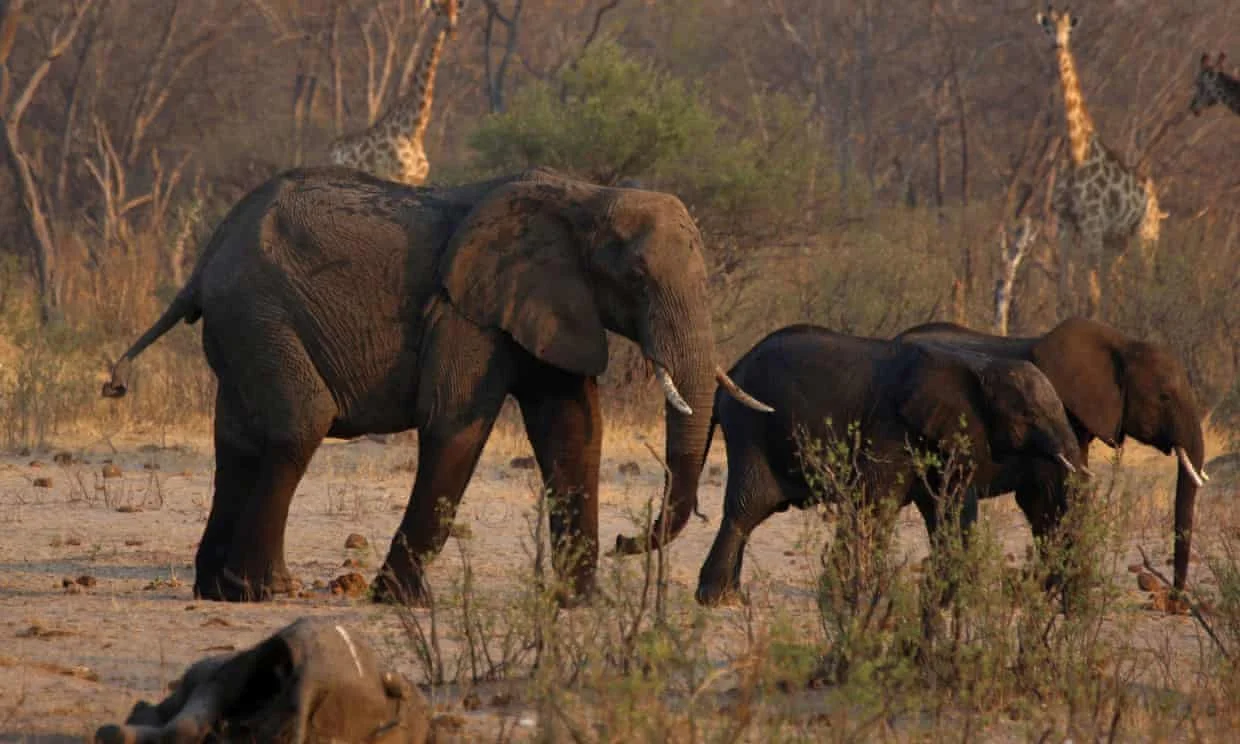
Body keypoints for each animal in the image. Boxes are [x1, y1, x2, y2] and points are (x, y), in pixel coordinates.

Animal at [101, 165, 770, 606]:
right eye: (635, 276)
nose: (631, 540)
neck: (585, 195)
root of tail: (204, 261)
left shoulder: (549, 304)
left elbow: (574, 432)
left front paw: (581, 606)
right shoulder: (466, 311)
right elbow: (456, 426)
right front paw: (400, 602)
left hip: (241, 326)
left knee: (237, 442)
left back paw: (216, 591)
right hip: (258, 313)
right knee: (299, 425)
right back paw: (265, 591)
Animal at [695, 324, 1085, 606]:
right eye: (1030, 416)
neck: (977, 365)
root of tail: (730, 370)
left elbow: (949, 508)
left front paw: (948, 598)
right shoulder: (891, 428)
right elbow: (875, 505)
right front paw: (849, 599)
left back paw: (730, 597)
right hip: (750, 426)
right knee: (748, 506)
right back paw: (717, 600)